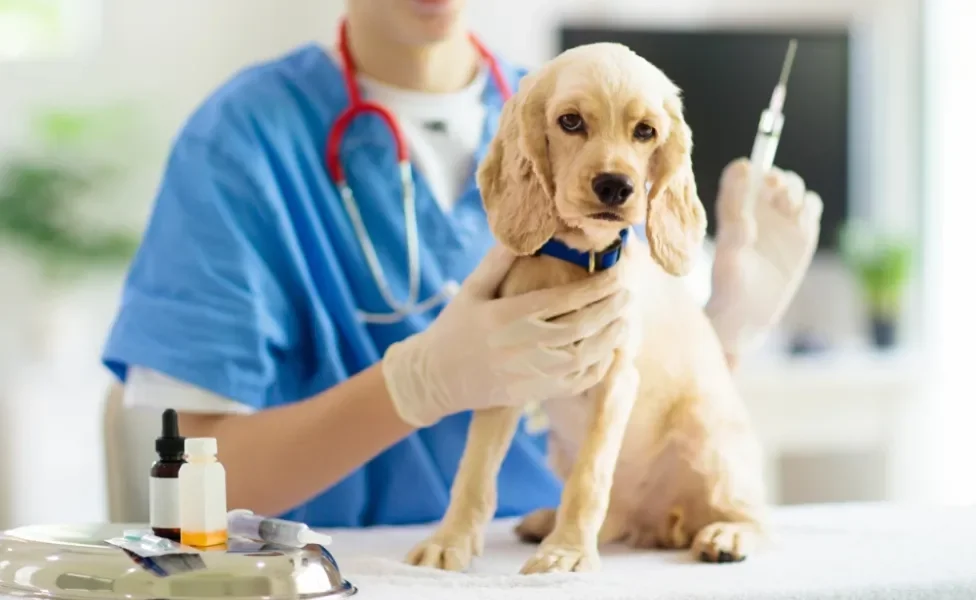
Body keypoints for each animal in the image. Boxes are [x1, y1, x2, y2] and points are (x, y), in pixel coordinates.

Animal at [404, 39, 772, 576]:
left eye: (646, 131)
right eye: (571, 121)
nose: (615, 186)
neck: (577, 258)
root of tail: (658, 523)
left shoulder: (615, 379)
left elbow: (590, 477)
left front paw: (567, 553)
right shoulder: (504, 374)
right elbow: (474, 472)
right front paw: (449, 540)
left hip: (708, 437)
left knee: (757, 514)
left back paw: (727, 534)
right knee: (616, 513)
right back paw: (546, 520)